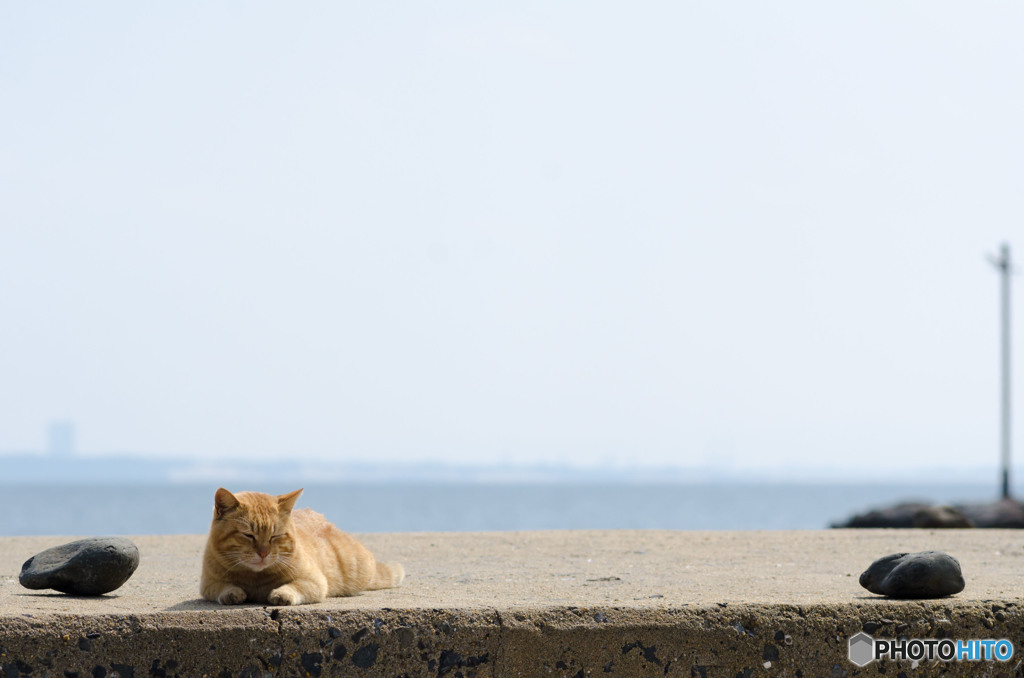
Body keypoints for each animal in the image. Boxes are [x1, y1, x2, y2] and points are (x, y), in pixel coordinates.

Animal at [199, 489, 403, 606]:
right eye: (248, 535)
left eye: (275, 536)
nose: (264, 553)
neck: (255, 578)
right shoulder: (208, 584)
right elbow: (222, 587)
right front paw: (232, 592)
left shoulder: (314, 581)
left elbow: (296, 586)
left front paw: (282, 593)